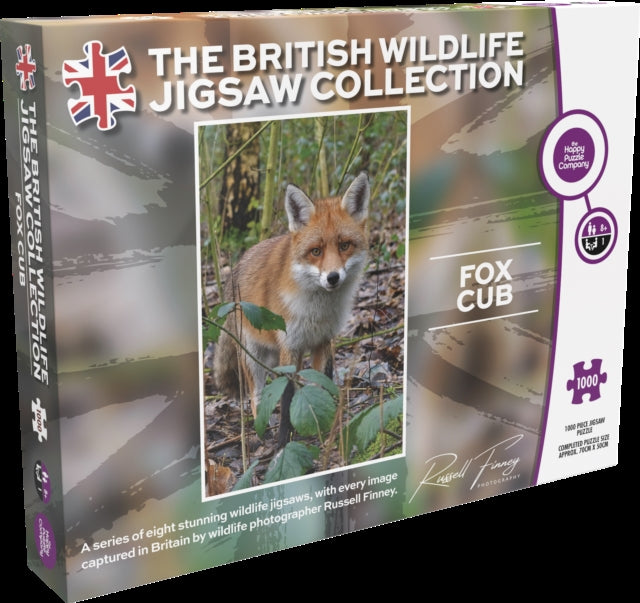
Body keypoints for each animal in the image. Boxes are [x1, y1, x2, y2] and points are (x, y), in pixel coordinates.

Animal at [213, 172, 370, 448]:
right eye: (316, 251)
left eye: (344, 245)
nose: (332, 277)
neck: (316, 311)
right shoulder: (291, 345)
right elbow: (287, 398)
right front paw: (283, 443)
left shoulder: (323, 341)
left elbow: (321, 384)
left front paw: (325, 428)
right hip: (252, 356)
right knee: (256, 395)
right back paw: (262, 432)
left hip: (273, 356)